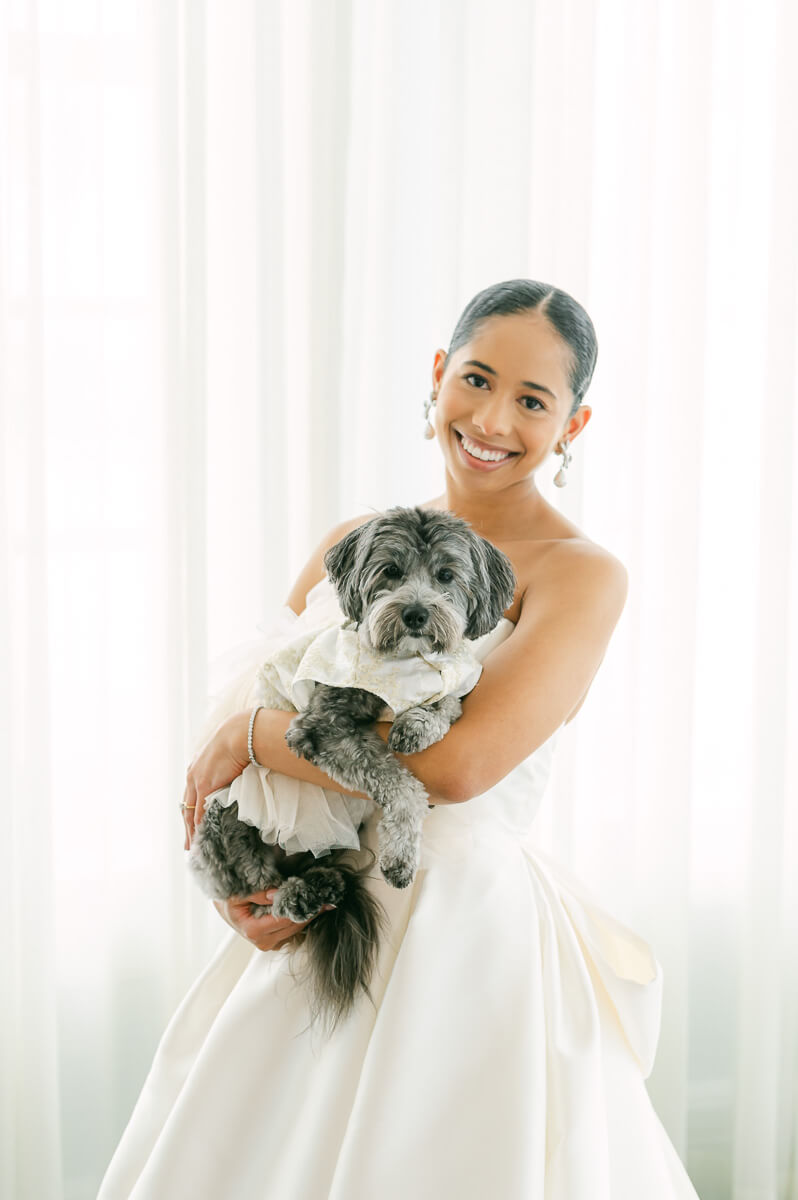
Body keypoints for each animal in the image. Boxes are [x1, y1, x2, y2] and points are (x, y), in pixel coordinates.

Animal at [193, 506, 516, 1032]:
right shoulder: (319, 730)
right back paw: (299, 895)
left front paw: (417, 726)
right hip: (224, 824)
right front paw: (400, 856)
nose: (415, 614)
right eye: (390, 571)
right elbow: (400, 784)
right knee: (258, 892)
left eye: (446, 576)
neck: (406, 664)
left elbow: (446, 706)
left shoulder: (454, 687)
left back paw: (323, 881)